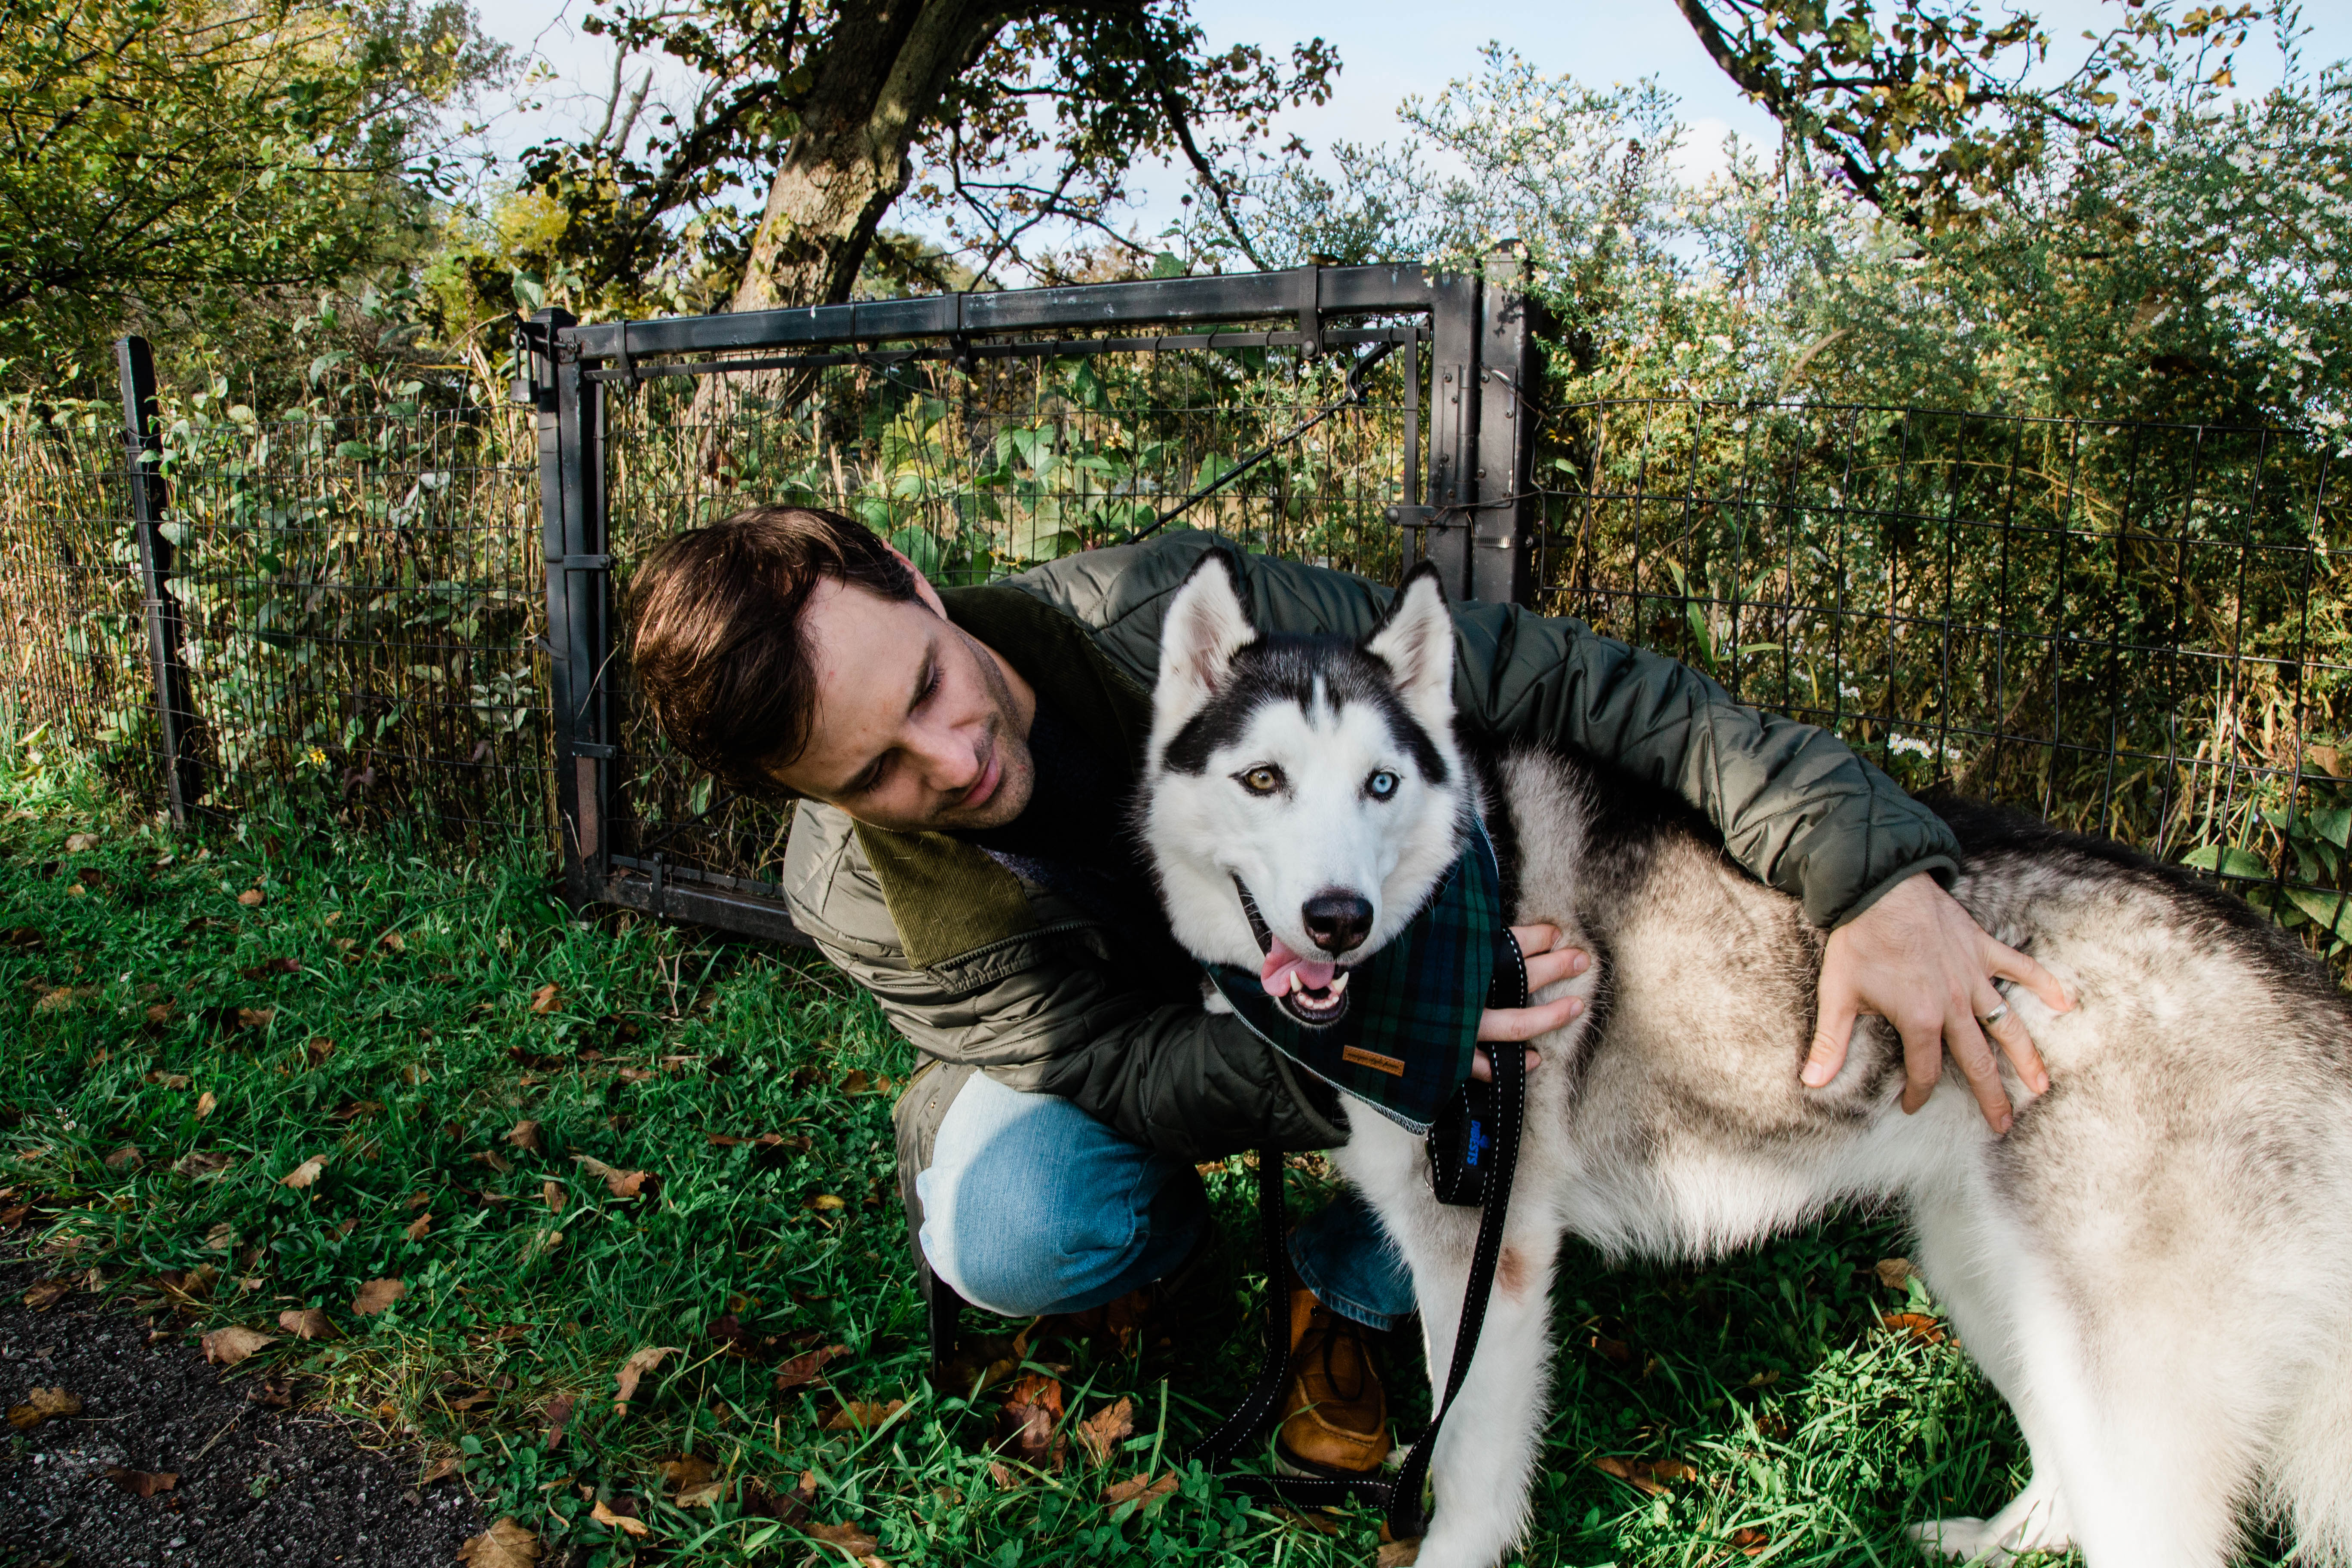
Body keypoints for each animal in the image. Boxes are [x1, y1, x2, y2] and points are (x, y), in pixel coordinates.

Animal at [1138, 554, 2352, 1568]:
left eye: (1380, 786)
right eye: (1262, 781)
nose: (1337, 919)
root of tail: (2301, 984)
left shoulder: (1490, 1248)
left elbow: (1473, 1468)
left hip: (2119, 1372)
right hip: (1990, 1283)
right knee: (2065, 1482)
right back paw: (1996, 1540)